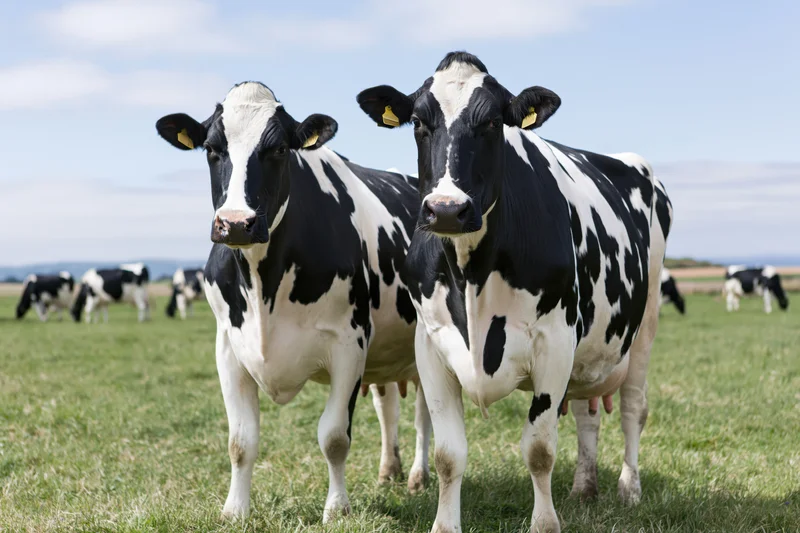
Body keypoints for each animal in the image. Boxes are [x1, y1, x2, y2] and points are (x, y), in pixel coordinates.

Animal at [154, 81, 431, 523]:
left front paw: (337, 509)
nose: (236, 223)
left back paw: (418, 477)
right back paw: (389, 470)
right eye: (212, 148)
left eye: (280, 149)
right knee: (387, 406)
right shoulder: (228, 347)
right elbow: (240, 441)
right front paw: (234, 511)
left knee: (424, 417)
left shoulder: (349, 343)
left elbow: (334, 436)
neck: (262, 283)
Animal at [356, 51, 673, 533]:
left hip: (645, 325)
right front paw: (444, 524)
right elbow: (448, 455)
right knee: (587, 412)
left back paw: (628, 489)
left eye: (492, 122)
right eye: (417, 121)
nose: (446, 209)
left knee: (634, 409)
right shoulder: (430, 346)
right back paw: (585, 487)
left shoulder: (555, 343)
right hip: (590, 351)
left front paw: (545, 524)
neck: (470, 275)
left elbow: (539, 450)